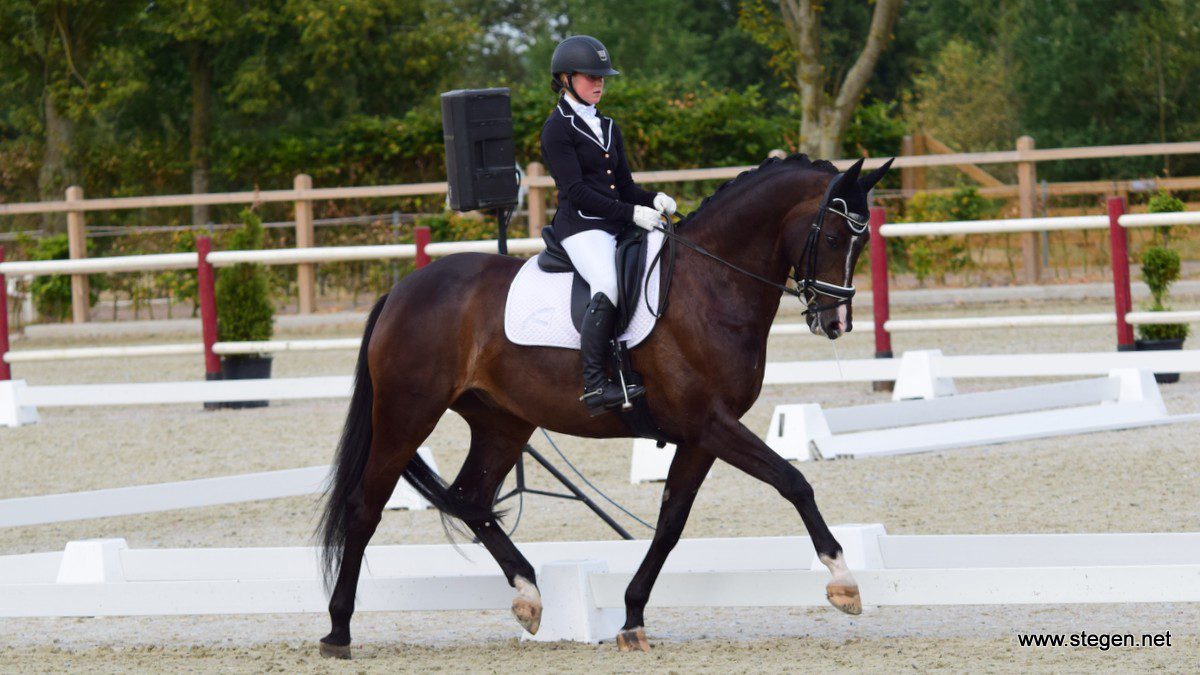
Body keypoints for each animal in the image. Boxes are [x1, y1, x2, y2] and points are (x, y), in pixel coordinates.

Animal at [316, 154, 892, 653]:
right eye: (834, 235)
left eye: (862, 241)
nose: (836, 322)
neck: (711, 285)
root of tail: (403, 290)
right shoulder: (711, 423)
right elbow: (793, 481)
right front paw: (844, 582)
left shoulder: (701, 435)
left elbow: (671, 523)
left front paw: (632, 617)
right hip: (407, 413)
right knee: (366, 506)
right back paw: (338, 630)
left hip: (503, 423)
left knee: (470, 498)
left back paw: (529, 596)